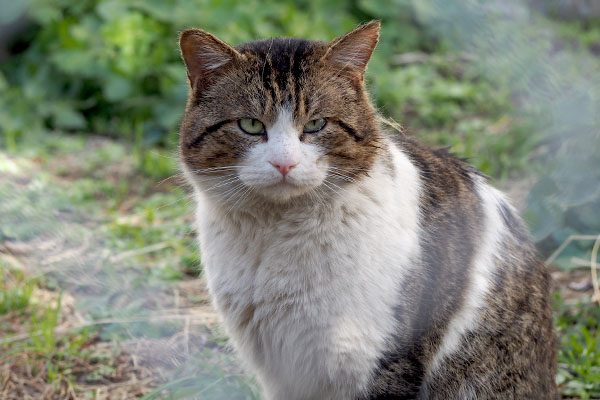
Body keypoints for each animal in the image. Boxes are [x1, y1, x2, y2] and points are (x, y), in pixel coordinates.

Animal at [177, 21, 556, 400]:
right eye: (251, 125)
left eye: (316, 124)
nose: (284, 163)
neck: (275, 233)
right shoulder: (278, 369)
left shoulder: (380, 361)